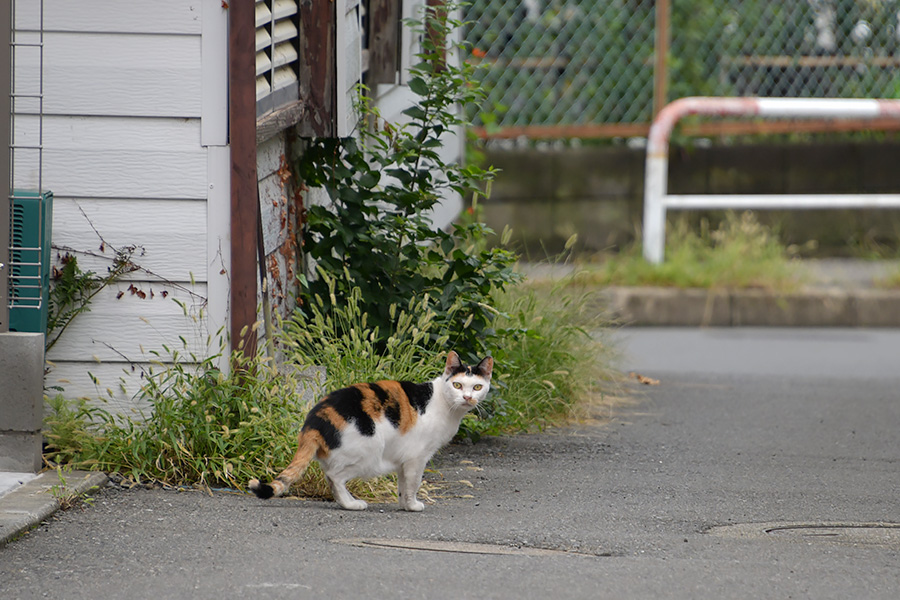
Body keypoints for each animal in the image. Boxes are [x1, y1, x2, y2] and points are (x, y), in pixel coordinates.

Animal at [248, 352, 492, 510]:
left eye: (477, 387)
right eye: (457, 385)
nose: (467, 397)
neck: (444, 403)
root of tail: (314, 420)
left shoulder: (404, 458)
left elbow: (403, 484)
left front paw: (403, 504)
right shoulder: (417, 457)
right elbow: (413, 483)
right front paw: (413, 505)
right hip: (369, 453)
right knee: (334, 477)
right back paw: (351, 504)